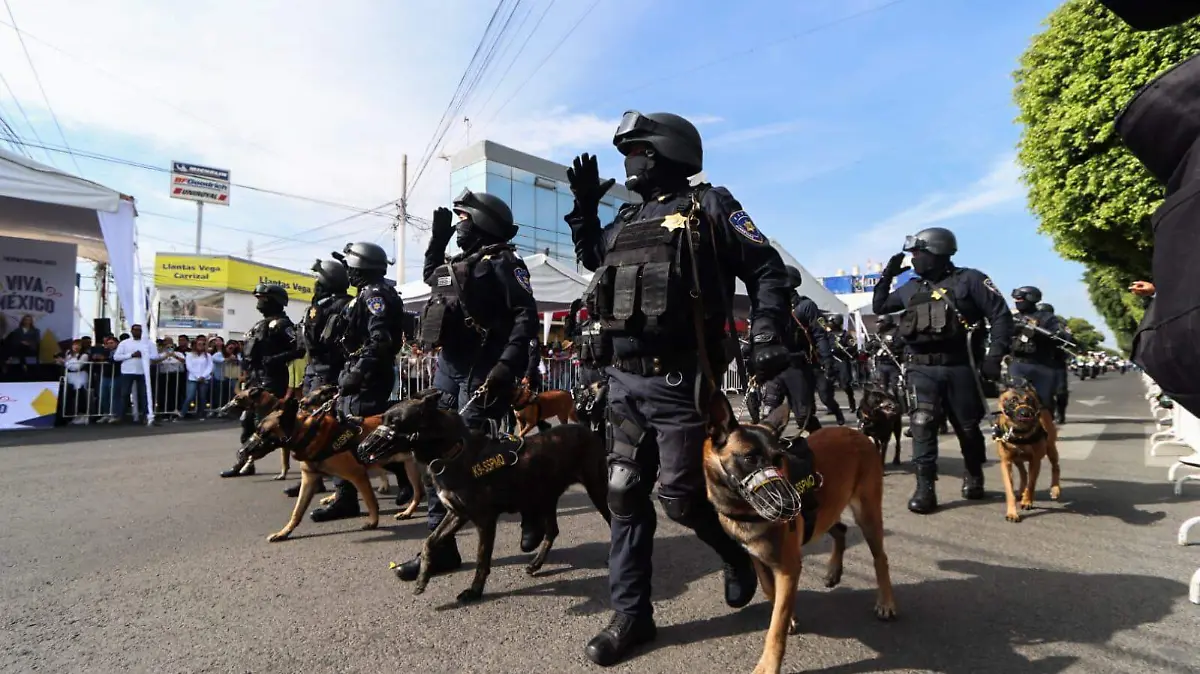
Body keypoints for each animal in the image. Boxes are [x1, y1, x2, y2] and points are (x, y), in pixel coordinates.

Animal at [236, 386, 424, 537]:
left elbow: (370, 500)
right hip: (408, 465)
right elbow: (297, 511)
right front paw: (284, 532)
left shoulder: (358, 475)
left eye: (263, 433)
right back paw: (407, 511)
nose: (241, 452)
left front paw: (373, 522)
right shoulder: (309, 479)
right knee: (418, 492)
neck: (308, 434)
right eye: (257, 431)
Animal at [350, 388, 604, 604]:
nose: (361, 449)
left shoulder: (484, 520)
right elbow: (429, 541)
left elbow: (482, 560)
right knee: (552, 531)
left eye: (395, 422)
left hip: (596, 490)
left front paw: (474, 591)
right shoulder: (456, 513)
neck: (453, 452)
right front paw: (423, 578)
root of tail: (587, 430)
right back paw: (536, 564)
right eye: (383, 419)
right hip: (545, 498)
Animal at [700, 393, 892, 671]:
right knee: (841, 530)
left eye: (778, 459)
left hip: (866, 515)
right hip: (826, 511)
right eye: (749, 458)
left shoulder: (788, 569)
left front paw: (769, 665)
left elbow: (776, 627)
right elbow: (771, 593)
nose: (791, 505)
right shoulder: (759, 560)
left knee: (880, 558)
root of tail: (857, 433)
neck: (742, 508)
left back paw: (886, 602)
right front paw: (789, 617)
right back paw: (833, 571)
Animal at [993, 383, 1060, 520]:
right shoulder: (1006, 463)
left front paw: (1027, 501)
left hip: (1051, 448)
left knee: (1055, 467)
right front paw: (1012, 513)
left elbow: (1032, 483)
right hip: (1017, 459)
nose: (1026, 413)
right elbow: (1010, 490)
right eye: (1013, 400)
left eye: (1029, 400)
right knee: (1023, 473)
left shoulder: (1035, 461)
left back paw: (1055, 489)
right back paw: (1021, 492)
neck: (1019, 433)